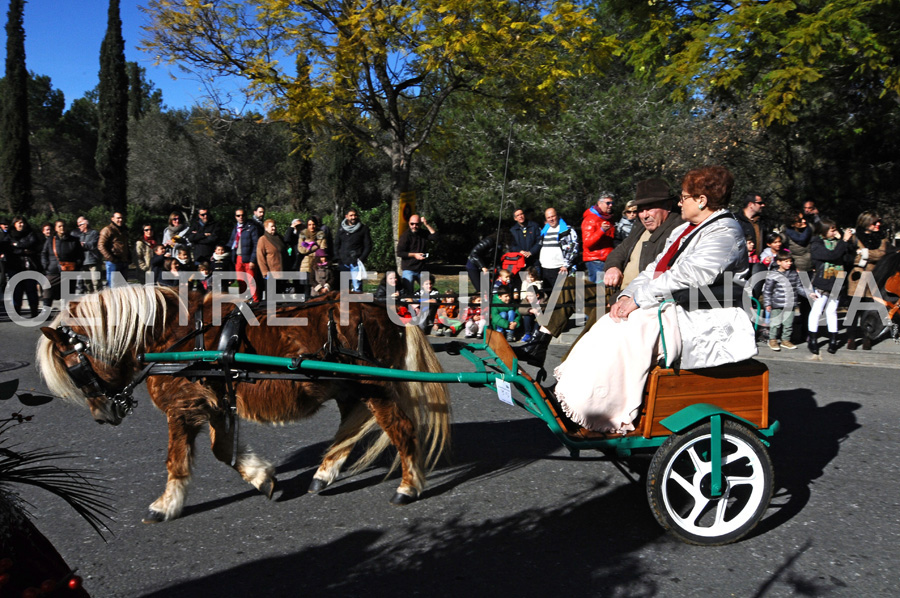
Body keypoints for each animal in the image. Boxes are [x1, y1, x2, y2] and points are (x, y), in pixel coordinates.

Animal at [37, 286, 450, 524]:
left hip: (372, 385)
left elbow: (177, 459)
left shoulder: (182, 407)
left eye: (73, 367)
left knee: (401, 430)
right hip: (351, 387)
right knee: (354, 422)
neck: (169, 336)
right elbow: (223, 451)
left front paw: (166, 504)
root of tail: (389, 313)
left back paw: (409, 485)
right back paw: (325, 472)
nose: (102, 415)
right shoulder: (216, 404)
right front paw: (262, 477)